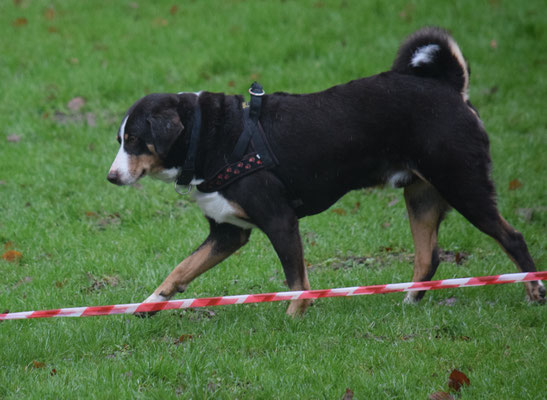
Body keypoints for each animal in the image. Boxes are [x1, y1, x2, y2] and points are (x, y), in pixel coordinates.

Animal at [106, 28, 544, 316]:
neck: (218, 138)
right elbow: (182, 268)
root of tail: (450, 87)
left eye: (135, 140)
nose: (111, 177)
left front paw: (293, 321)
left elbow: (296, 283)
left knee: (512, 238)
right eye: (120, 138)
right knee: (428, 258)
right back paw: (408, 301)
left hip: (464, 185)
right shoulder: (228, 232)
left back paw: (533, 291)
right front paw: (151, 303)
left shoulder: (280, 221)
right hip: (421, 196)